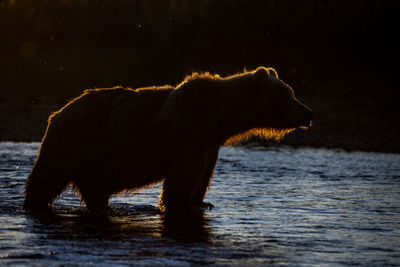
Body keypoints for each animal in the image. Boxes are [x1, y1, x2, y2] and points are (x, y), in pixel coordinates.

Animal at [23, 67, 314, 214]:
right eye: (287, 94)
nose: (308, 113)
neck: (220, 118)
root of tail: (56, 114)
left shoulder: (210, 145)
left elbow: (203, 176)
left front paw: (201, 202)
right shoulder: (189, 134)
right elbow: (182, 179)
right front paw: (180, 204)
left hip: (94, 161)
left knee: (94, 190)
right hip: (72, 144)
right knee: (45, 180)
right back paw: (33, 204)